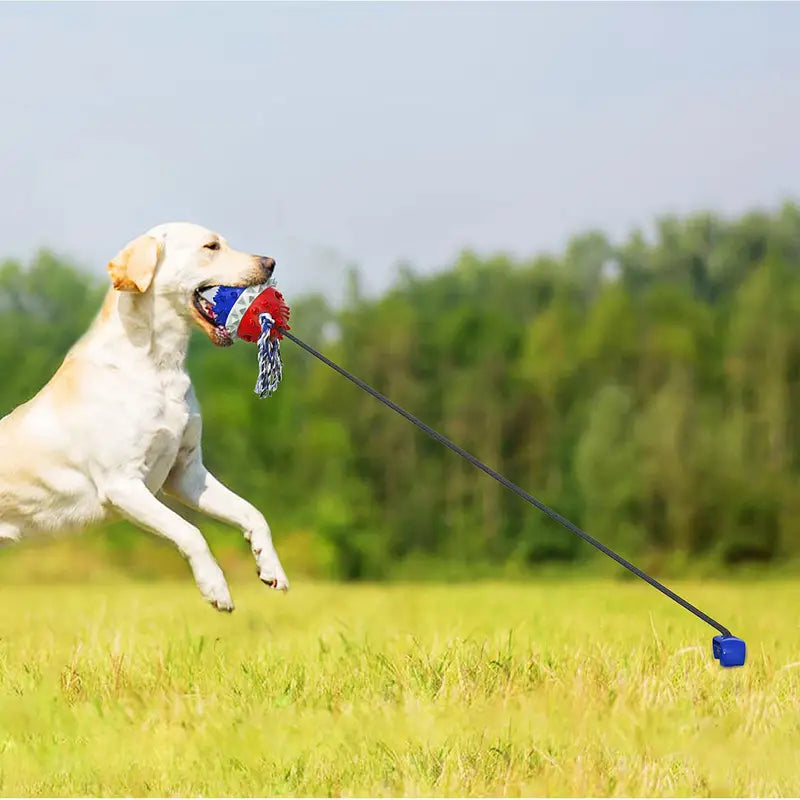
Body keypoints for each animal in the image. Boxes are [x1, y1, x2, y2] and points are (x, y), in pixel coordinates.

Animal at [0, 222, 290, 608]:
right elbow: (190, 532)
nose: (270, 262)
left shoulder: (186, 472)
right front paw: (216, 588)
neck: (160, 364)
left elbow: (252, 512)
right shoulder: (123, 485)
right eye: (211, 247)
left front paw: (270, 567)